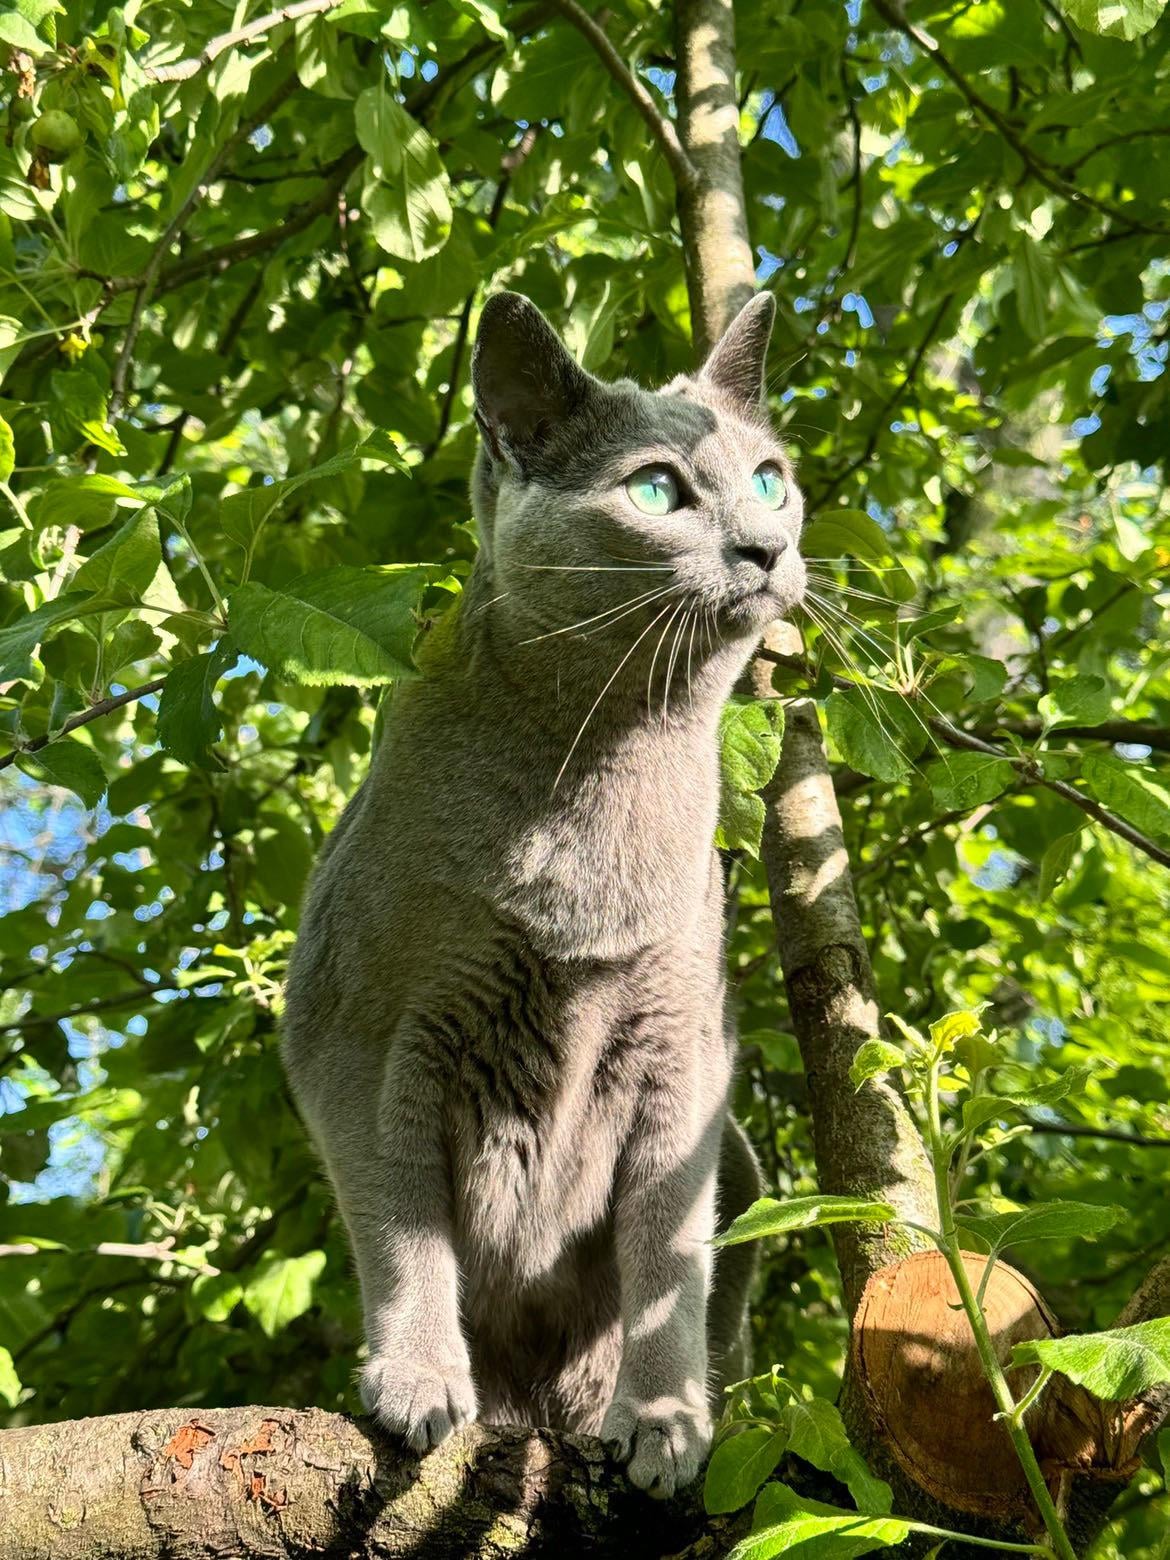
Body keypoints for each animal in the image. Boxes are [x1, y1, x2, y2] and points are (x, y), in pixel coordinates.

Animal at [281, 289, 807, 1496]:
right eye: (657, 489)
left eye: (768, 478)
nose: (769, 546)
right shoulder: (358, 1031)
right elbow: (403, 1222)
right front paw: (419, 1377)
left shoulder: (683, 1044)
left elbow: (668, 1250)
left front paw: (662, 1420)